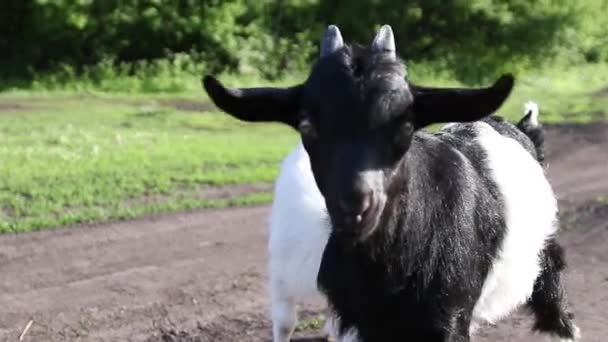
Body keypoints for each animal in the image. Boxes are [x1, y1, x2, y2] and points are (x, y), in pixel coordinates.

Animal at [204, 25, 580, 342]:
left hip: (545, 260)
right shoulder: (359, 320)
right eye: (307, 125)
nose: (355, 207)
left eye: (406, 125)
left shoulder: (448, 317)